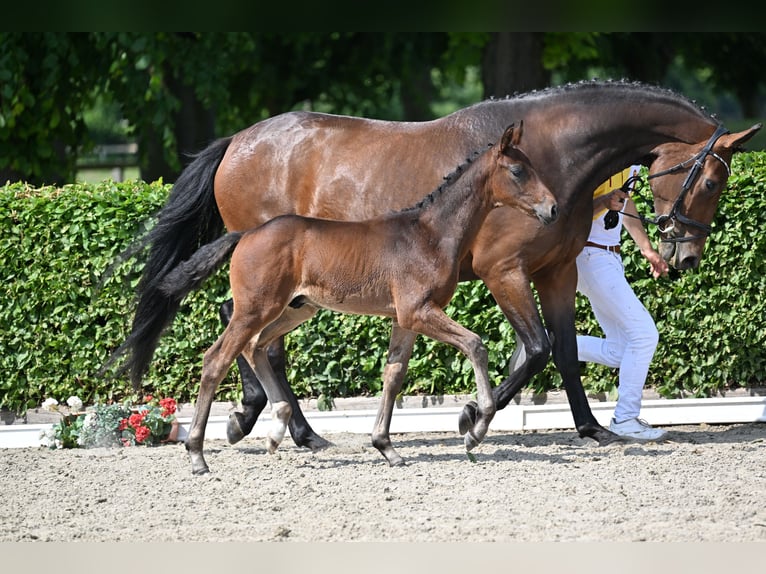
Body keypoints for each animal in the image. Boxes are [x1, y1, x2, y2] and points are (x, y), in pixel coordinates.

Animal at [164, 120, 560, 472]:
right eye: (518, 171)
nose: (553, 208)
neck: (431, 233)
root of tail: (246, 234)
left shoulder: (406, 319)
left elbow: (394, 374)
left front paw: (386, 447)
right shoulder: (419, 311)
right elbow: (476, 345)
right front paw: (475, 428)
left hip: (295, 309)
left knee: (255, 346)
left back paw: (276, 430)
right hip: (256, 307)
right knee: (216, 359)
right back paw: (198, 454)